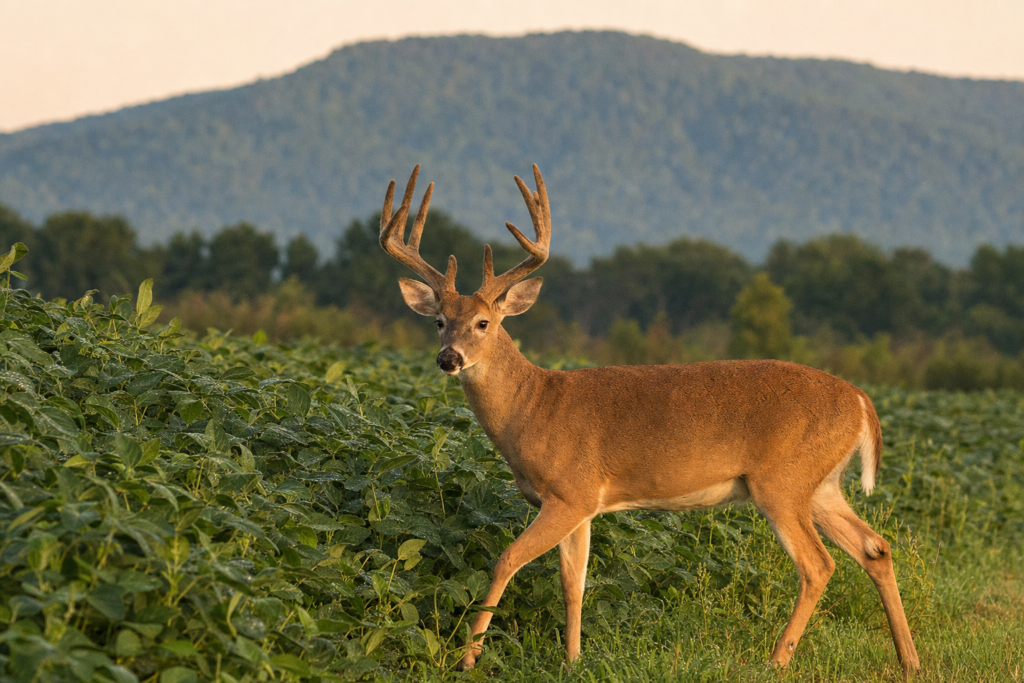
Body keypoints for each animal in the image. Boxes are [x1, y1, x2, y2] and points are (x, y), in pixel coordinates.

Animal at [378, 164, 921, 674]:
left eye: (483, 322)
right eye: (438, 321)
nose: (449, 358)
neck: (533, 408)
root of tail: (860, 400)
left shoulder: (570, 492)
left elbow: (507, 559)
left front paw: (467, 657)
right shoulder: (581, 507)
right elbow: (573, 582)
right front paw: (572, 659)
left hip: (782, 481)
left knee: (818, 564)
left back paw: (776, 660)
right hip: (821, 483)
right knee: (875, 547)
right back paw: (909, 661)